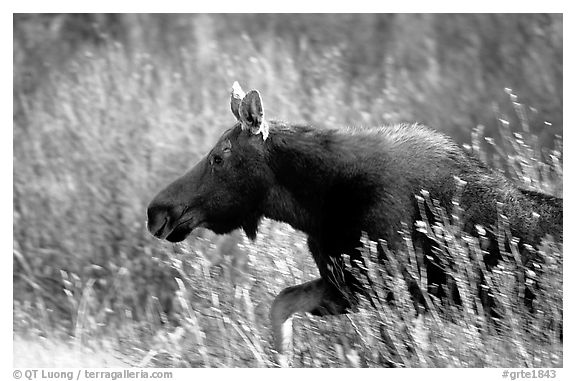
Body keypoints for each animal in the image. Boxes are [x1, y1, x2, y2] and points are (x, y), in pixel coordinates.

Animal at [147, 81, 564, 362]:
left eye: (219, 157)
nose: (157, 211)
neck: (314, 206)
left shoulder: (394, 290)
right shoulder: (347, 284)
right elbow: (281, 303)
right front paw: (281, 359)